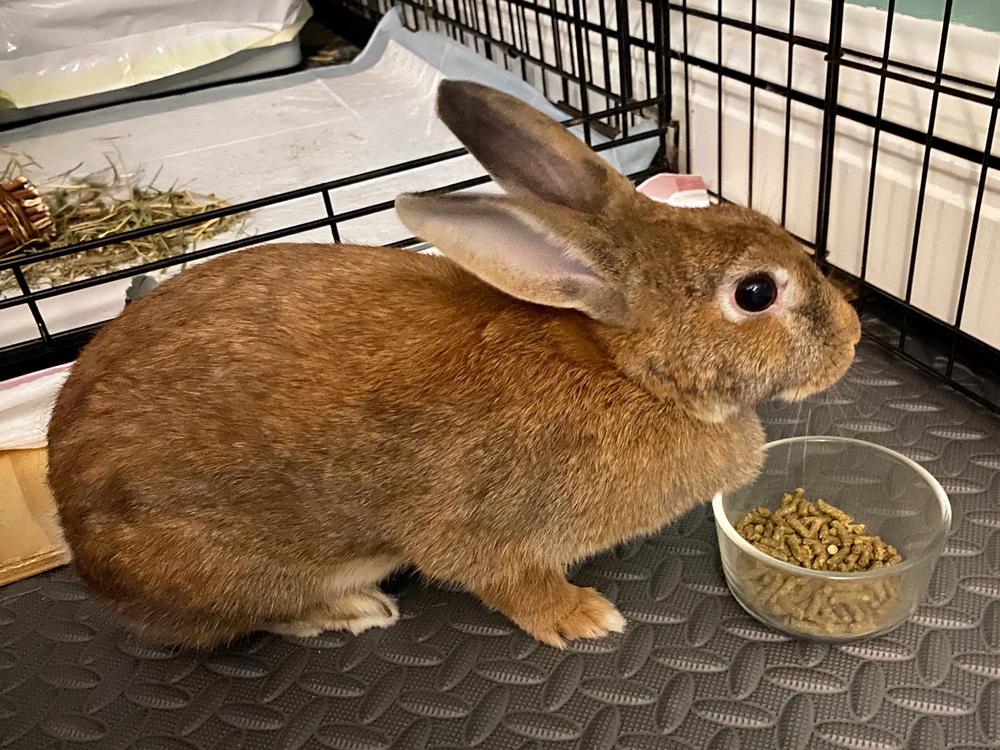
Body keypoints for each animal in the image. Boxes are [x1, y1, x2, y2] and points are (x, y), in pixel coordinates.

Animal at [46, 80, 861, 650]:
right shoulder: (484, 533)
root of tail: (79, 546)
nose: (853, 335)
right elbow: (505, 581)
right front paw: (583, 617)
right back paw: (353, 609)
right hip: (230, 570)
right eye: (755, 293)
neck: (624, 370)